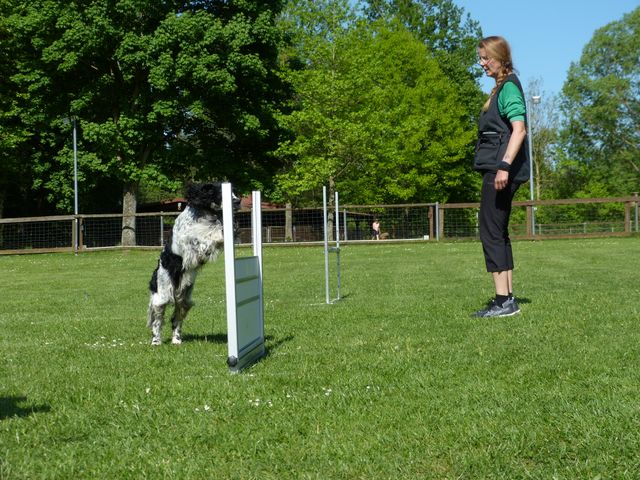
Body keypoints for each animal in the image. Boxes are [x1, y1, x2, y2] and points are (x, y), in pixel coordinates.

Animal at [147, 182, 239, 345]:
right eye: (220, 193)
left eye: (234, 192)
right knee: (157, 322)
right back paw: (156, 342)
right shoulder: (190, 247)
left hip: (184, 300)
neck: (206, 214)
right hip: (162, 296)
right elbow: (207, 238)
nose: (238, 201)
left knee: (176, 319)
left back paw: (177, 340)